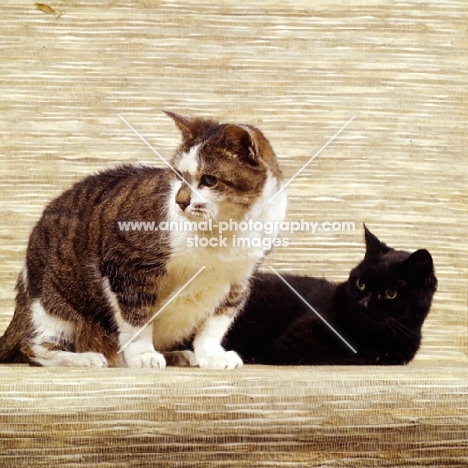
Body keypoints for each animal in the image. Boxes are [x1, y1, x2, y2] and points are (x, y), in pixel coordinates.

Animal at [0, 111, 288, 368]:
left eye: (209, 180)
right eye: (179, 176)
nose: (180, 201)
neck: (225, 229)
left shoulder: (238, 279)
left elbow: (215, 325)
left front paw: (212, 356)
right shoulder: (126, 264)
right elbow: (136, 319)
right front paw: (143, 356)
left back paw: (177, 355)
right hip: (53, 307)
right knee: (34, 346)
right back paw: (86, 358)